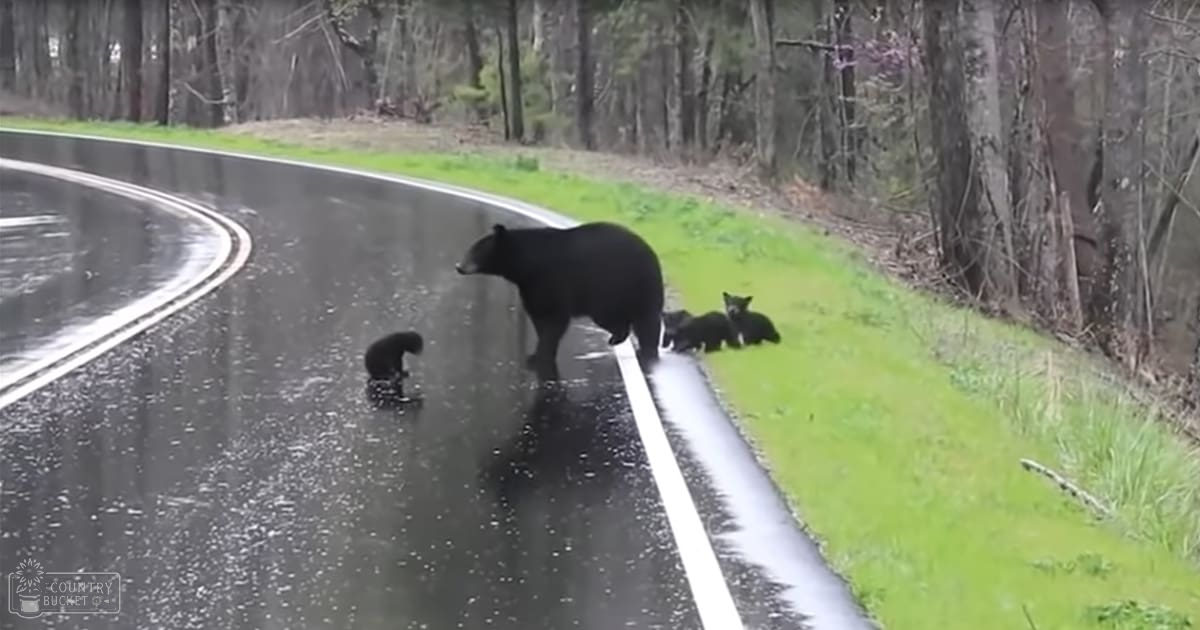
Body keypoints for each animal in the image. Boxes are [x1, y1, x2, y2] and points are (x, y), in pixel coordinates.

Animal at [455, 222, 664, 379]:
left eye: (475, 250)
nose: (459, 266)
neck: (527, 265)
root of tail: (652, 254)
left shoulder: (552, 280)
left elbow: (554, 319)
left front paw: (540, 357)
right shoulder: (531, 288)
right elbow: (539, 316)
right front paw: (536, 355)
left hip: (631, 285)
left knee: (646, 322)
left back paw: (647, 352)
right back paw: (617, 338)